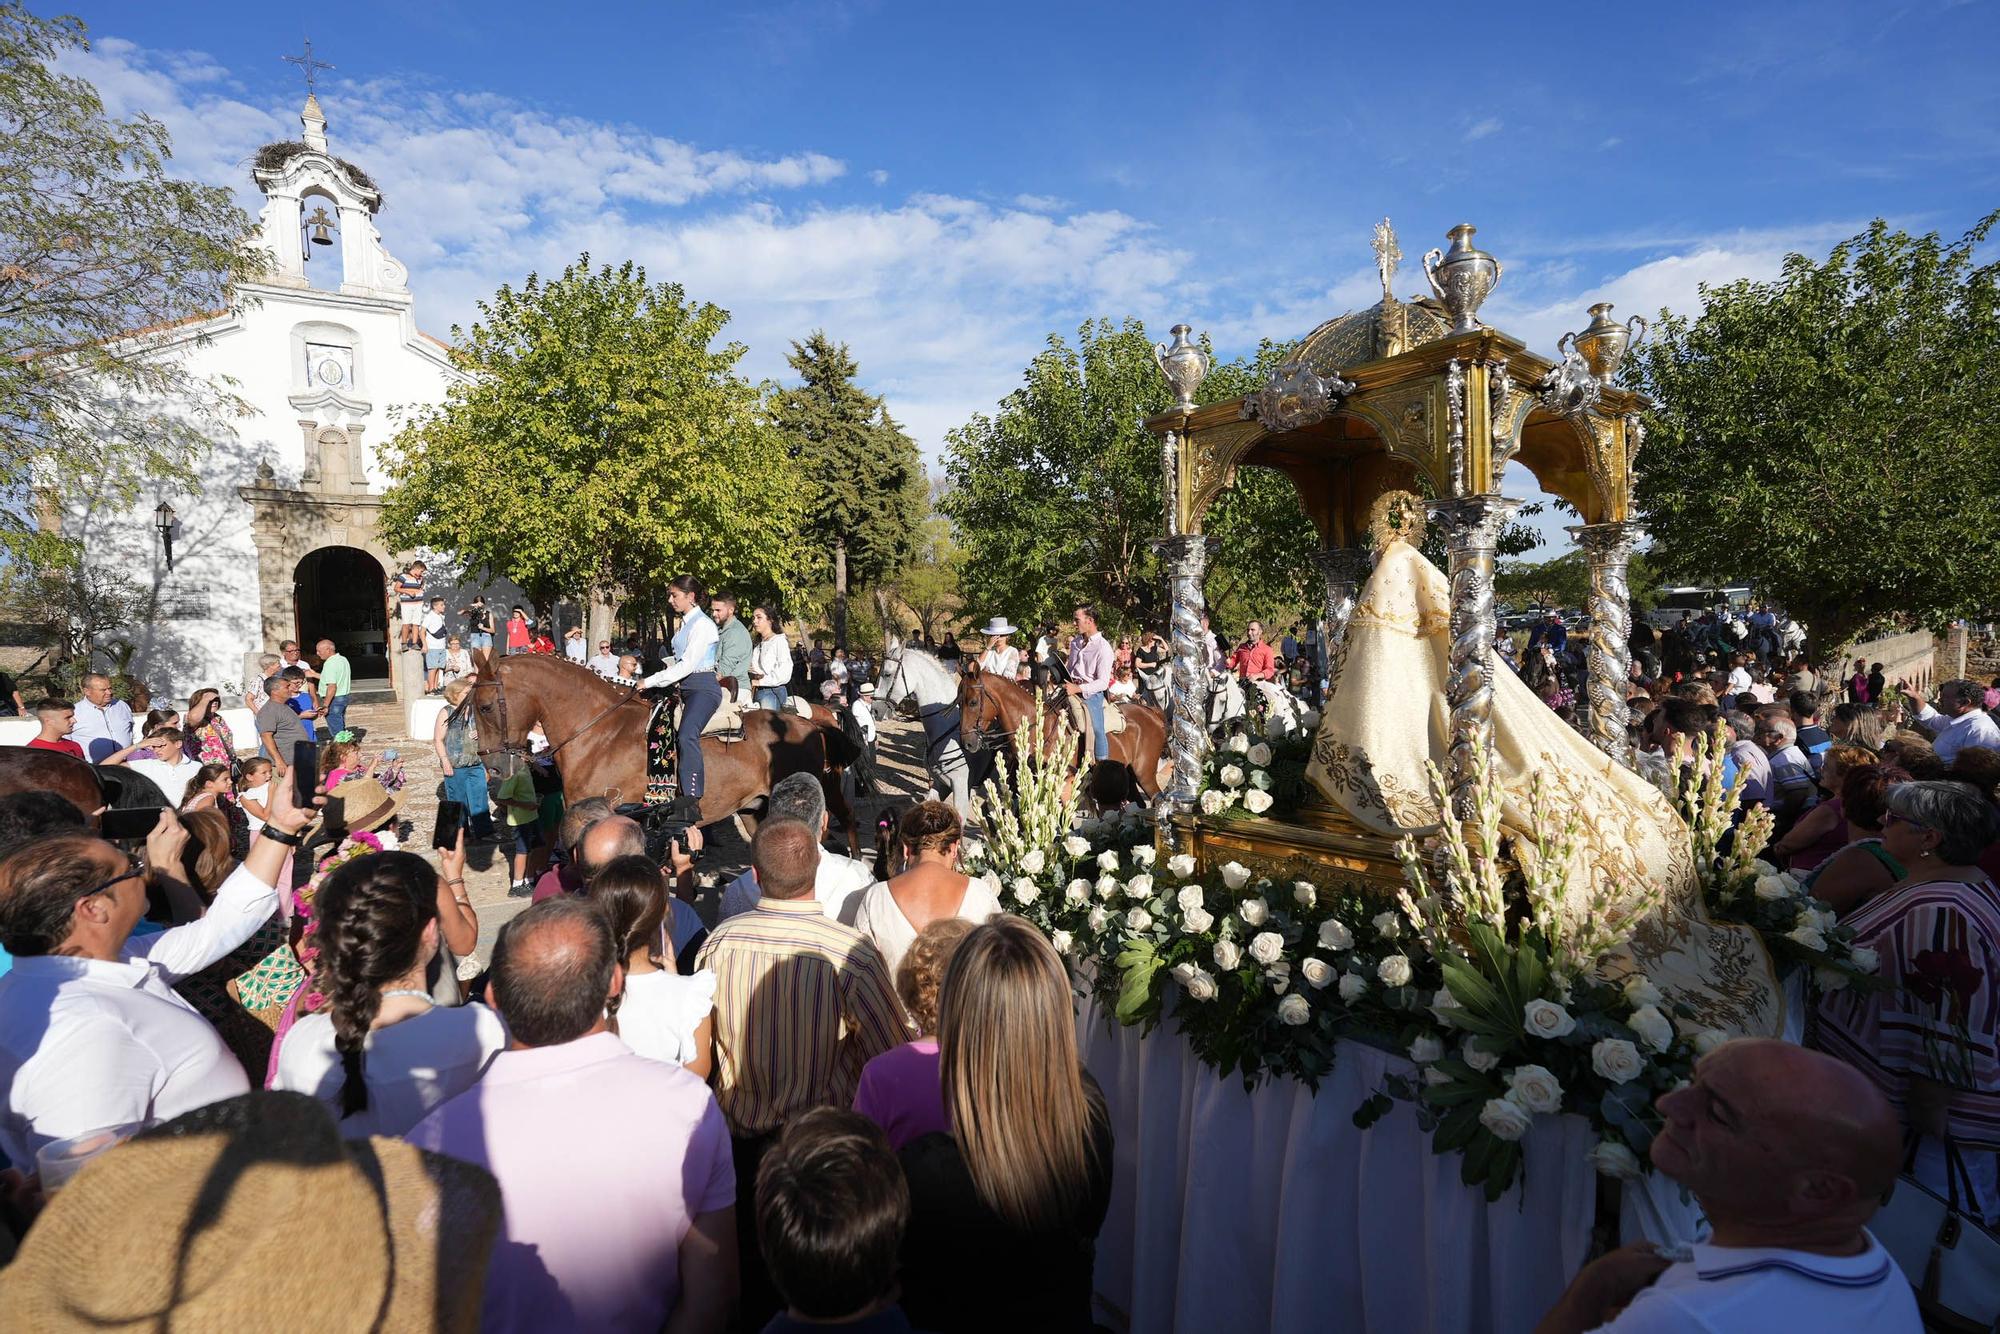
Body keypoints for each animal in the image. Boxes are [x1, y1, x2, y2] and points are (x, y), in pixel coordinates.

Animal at [466, 656, 860, 844]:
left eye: (484, 706)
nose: (494, 768)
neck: (600, 733)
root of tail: (811, 724)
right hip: (754, 808)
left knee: (844, 822)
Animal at [956, 668, 1168, 804]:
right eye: (959, 701)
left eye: (973, 702)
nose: (967, 743)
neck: (1039, 729)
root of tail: (1152, 713)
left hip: (1145, 774)